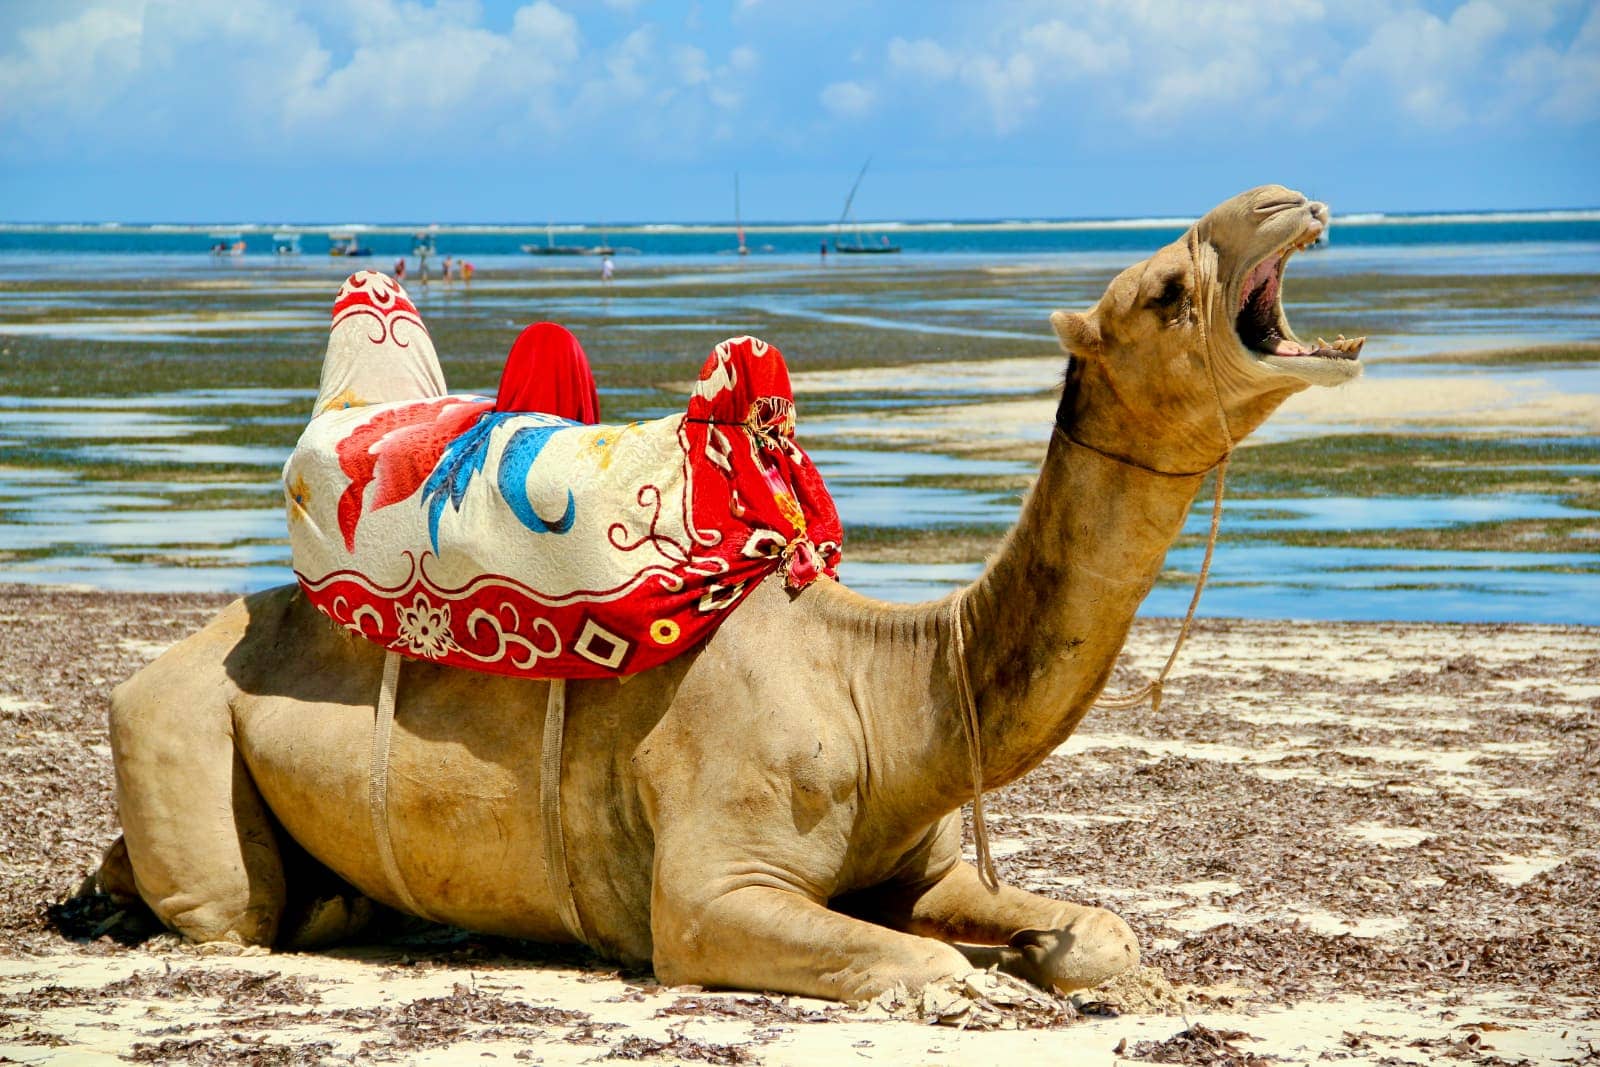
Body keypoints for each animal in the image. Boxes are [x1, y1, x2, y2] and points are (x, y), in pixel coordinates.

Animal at [93, 185, 1363, 1004]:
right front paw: (982, 981)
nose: (1290, 199)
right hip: (176, 725)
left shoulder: (921, 864)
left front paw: (1063, 957)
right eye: (1165, 291)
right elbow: (915, 963)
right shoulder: (709, 885)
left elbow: (1094, 930)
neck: (885, 685)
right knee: (238, 909)